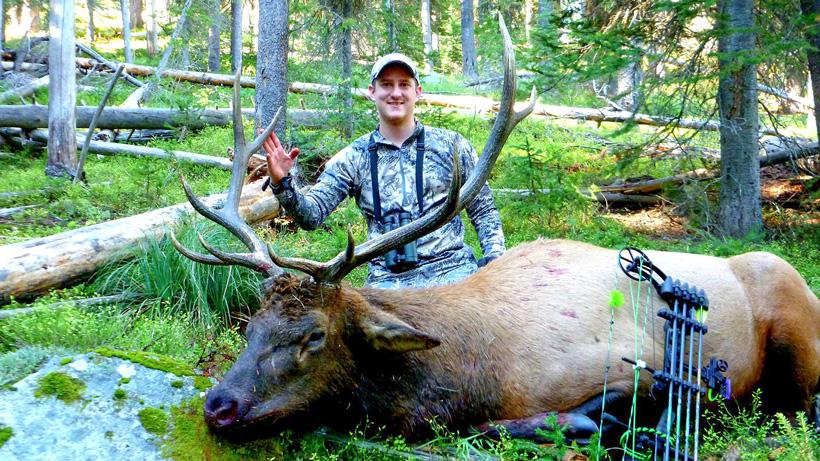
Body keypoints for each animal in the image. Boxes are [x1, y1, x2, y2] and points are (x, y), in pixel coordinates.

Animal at [170, 17, 820, 446]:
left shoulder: (635, 361)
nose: (218, 406)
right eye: (251, 326)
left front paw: (592, 421)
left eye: (313, 336)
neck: (471, 371)